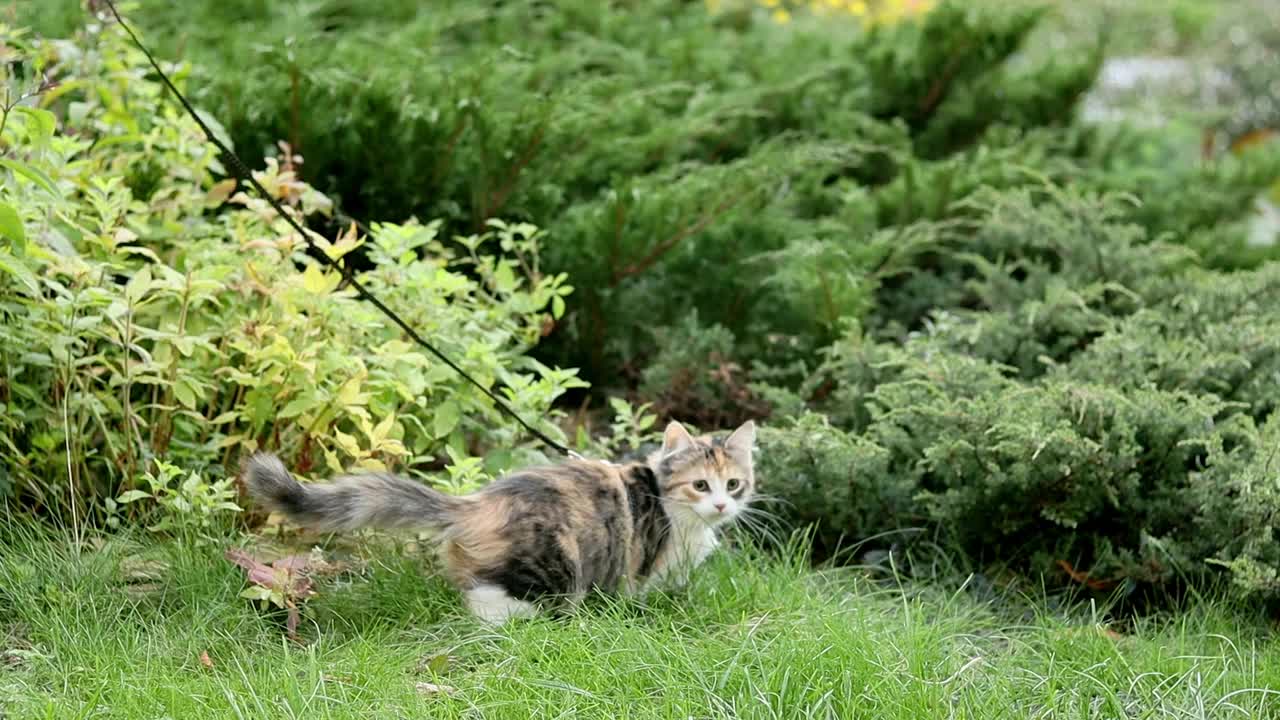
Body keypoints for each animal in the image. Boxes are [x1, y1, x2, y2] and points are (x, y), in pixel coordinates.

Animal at [244, 417, 752, 620]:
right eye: (700, 485)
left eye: (734, 485)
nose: (722, 506)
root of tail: (477, 501)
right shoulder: (639, 566)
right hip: (552, 571)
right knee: (495, 604)